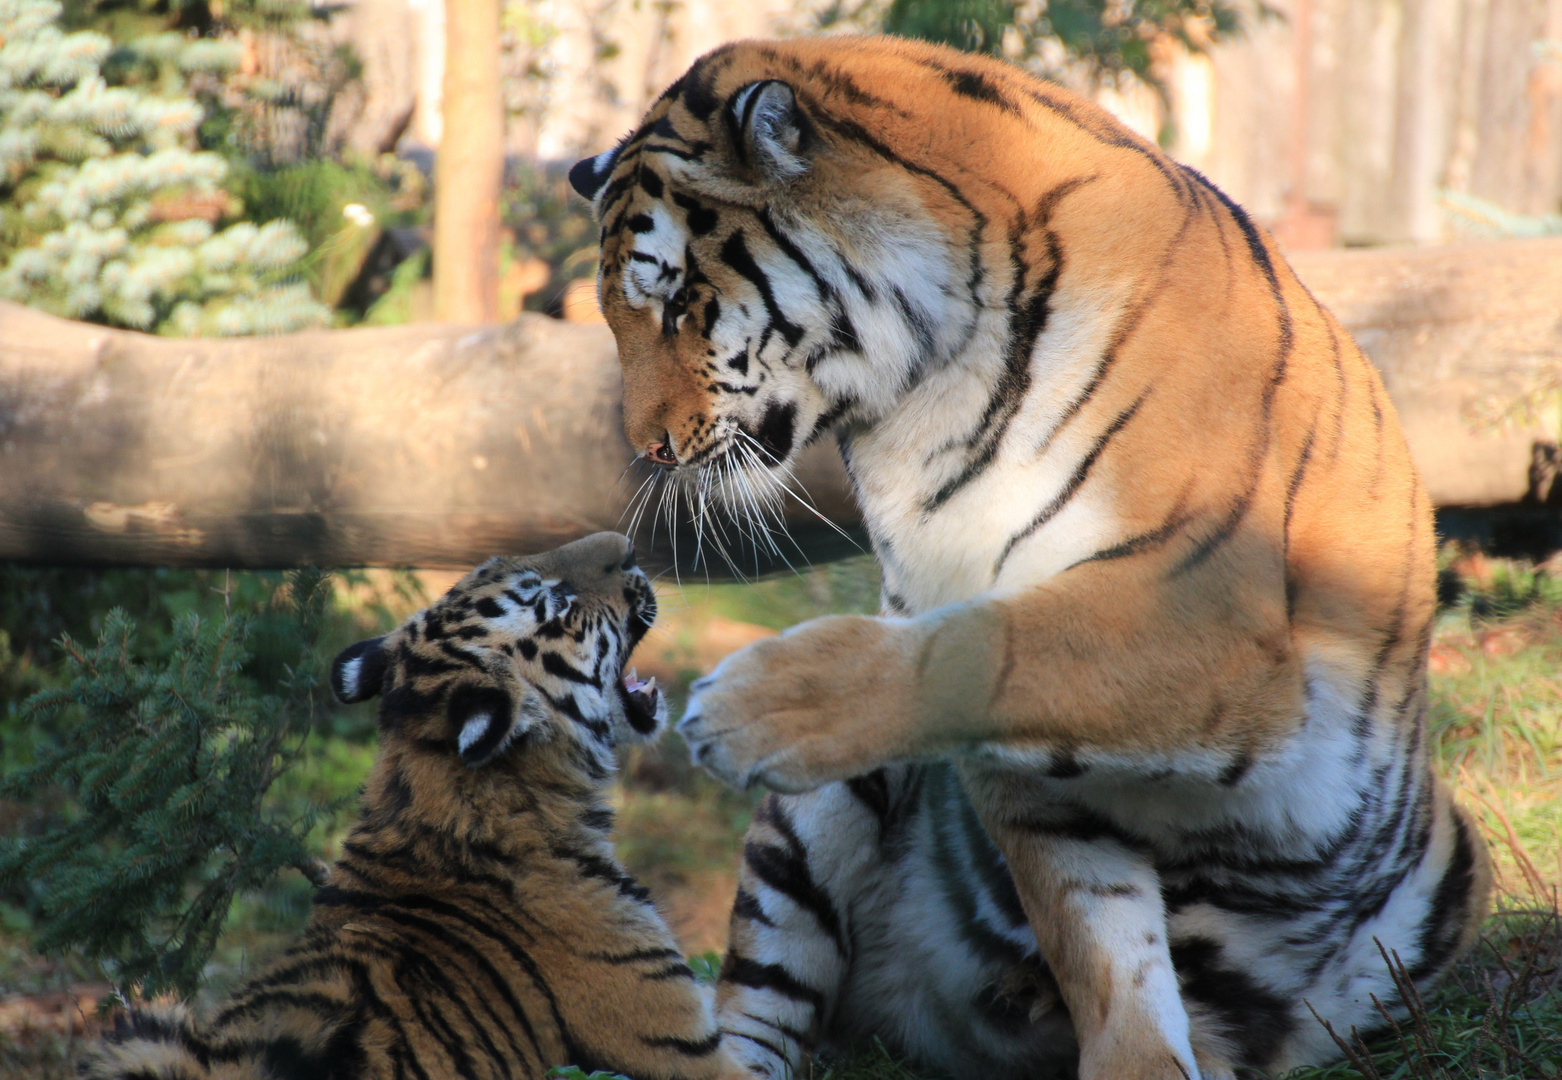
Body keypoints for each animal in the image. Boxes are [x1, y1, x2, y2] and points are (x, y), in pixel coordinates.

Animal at [571, 33, 1487, 1080]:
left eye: (680, 302)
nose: (645, 447)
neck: (923, 393)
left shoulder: (1211, 614)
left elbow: (990, 647)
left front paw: (757, 703)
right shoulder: (1032, 757)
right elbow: (1093, 928)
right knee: (756, 1012)